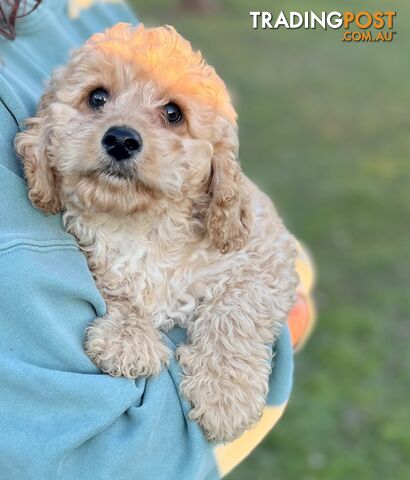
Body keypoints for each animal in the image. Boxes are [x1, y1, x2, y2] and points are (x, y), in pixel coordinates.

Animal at [16, 23, 298, 442]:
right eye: (96, 97)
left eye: (173, 113)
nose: (120, 139)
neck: (142, 224)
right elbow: (117, 290)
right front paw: (127, 341)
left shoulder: (267, 257)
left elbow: (236, 310)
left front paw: (225, 396)